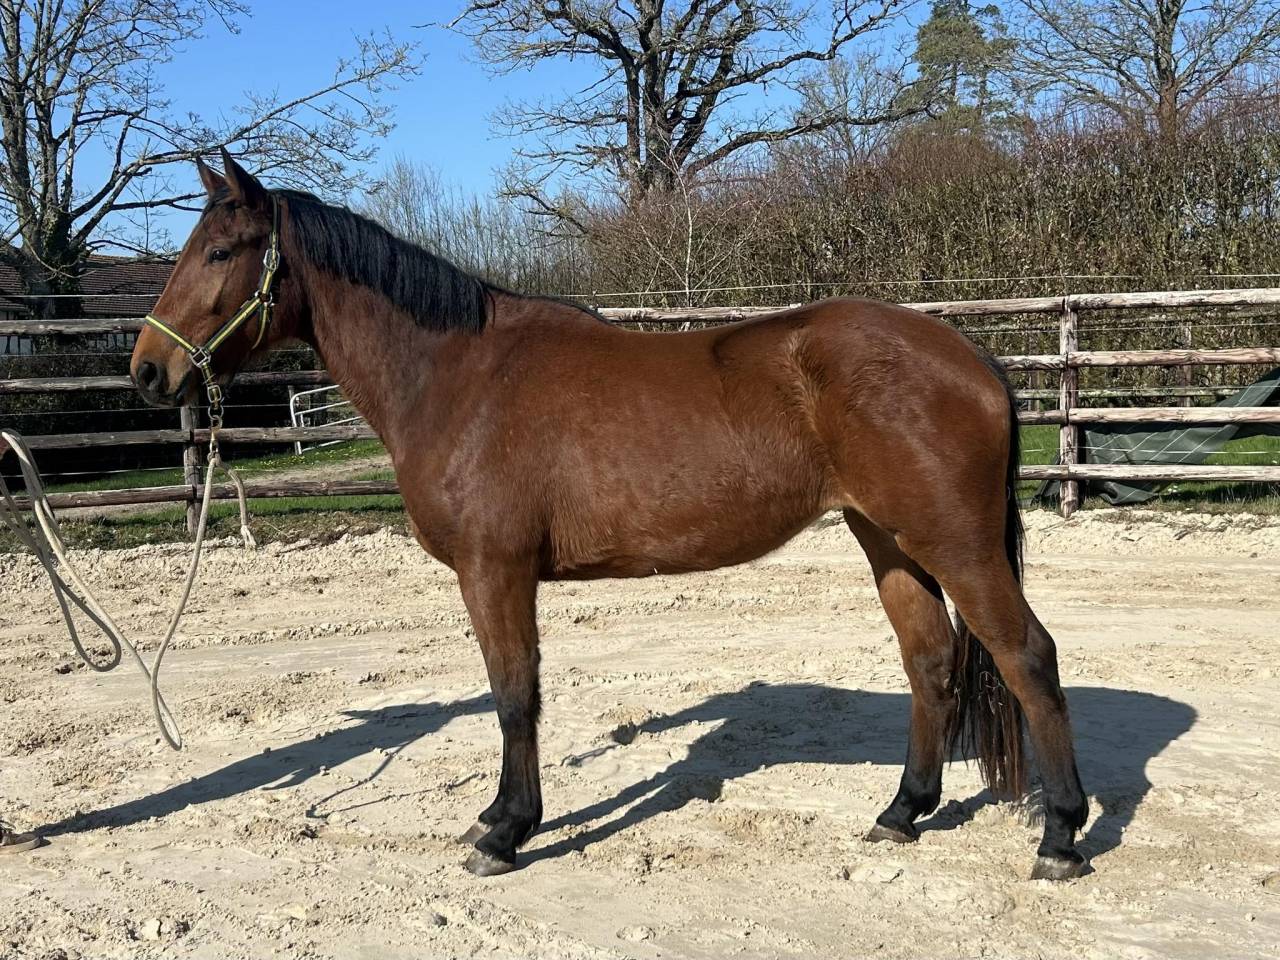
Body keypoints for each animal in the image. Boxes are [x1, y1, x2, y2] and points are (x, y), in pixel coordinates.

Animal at [129, 151, 1089, 880]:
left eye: (221, 251)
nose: (146, 370)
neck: (456, 378)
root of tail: (967, 354)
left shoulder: (495, 570)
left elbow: (514, 695)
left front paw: (507, 831)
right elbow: (515, 695)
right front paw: (499, 817)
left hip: (956, 543)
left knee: (1027, 658)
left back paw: (1061, 838)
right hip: (888, 540)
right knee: (931, 663)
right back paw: (902, 812)